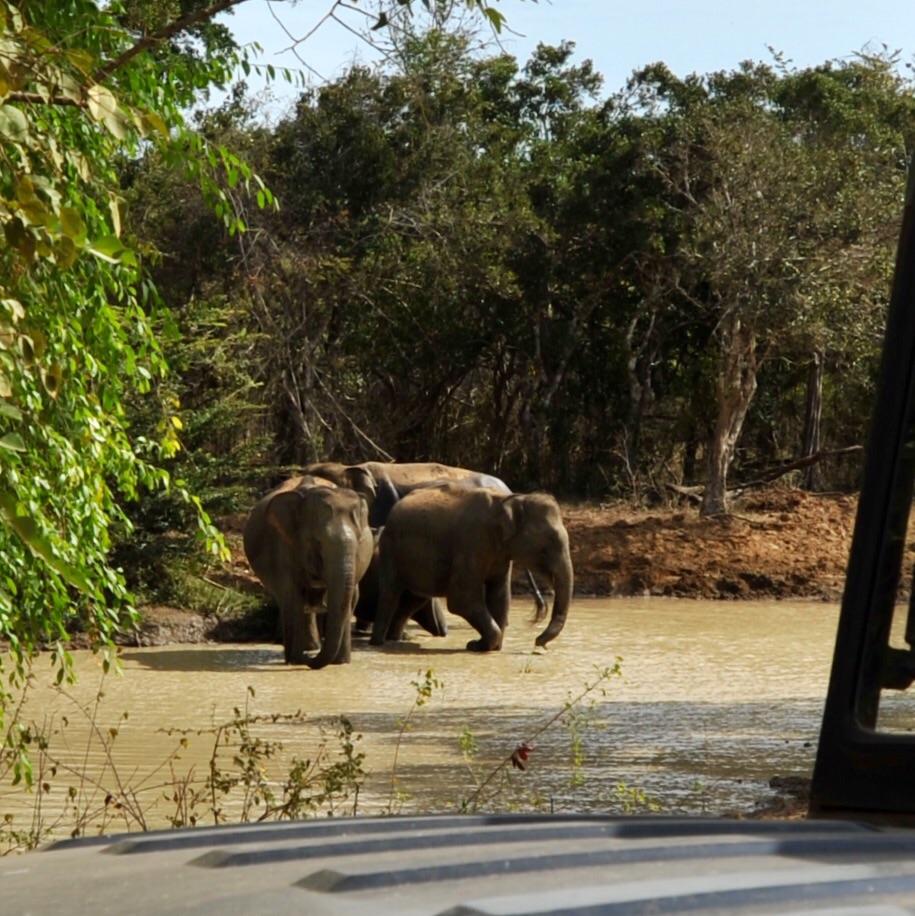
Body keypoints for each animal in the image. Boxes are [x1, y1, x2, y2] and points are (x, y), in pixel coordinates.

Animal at [243, 480, 376, 664]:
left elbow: (351, 598)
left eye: (359, 540)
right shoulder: (284, 545)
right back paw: (307, 650)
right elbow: (292, 596)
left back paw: (312, 649)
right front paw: (297, 660)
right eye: (318, 542)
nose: (307, 658)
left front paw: (341, 663)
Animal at [372, 480, 572, 652]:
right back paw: (377, 643)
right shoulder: (470, 540)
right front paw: (476, 645)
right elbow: (462, 598)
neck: (511, 500)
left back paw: (394, 640)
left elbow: (499, 597)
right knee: (390, 594)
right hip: (389, 547)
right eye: (546, 547)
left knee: (414, 599)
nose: (538, 642)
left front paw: (490, 647)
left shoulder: (500, 553)